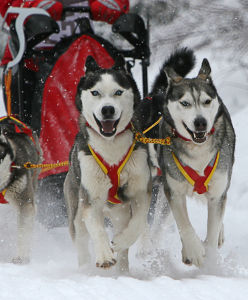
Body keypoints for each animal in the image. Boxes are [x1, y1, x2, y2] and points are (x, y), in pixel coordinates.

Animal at [63, 56, 151, 272]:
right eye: (95, 92)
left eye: (118, 92)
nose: (108, 109)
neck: (111, 148)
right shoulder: (90, 199)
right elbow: (97, 229)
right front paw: (104, 255)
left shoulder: (140, 192)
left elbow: (137, 223)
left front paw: (120, 242)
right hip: (76, 211)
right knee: (82, 240)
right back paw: (85, 268)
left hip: (120, 213)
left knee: (124, 242)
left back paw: (123, 269)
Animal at [138, 49, 236, 268]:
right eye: (185, 103)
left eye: (207, 101)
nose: (201, 122)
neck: (197, 151)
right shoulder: (174, 192)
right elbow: (184, 224)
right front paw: (193, 250)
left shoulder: (217, 191)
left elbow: (212, 229)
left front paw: (210, 259)